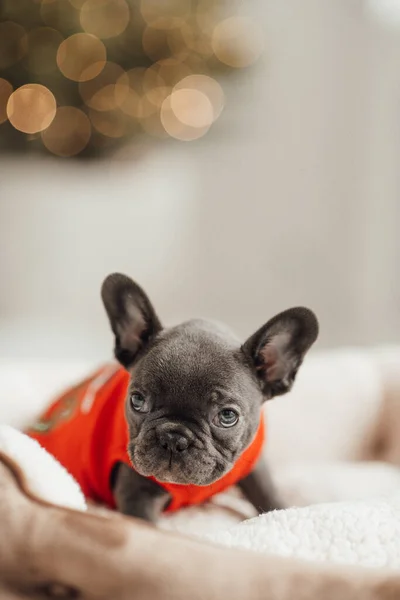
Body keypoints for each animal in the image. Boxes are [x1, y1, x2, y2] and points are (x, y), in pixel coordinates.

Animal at [102, 272, 318, 520]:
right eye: (137, 401)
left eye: (227, 416)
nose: (173, 438)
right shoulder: (136, 495)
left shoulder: (255, 466)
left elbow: (267, 493)